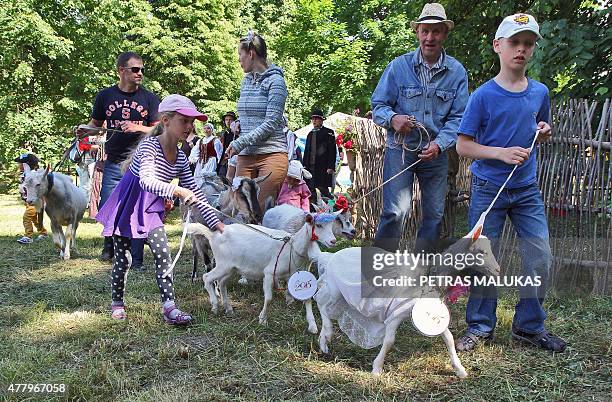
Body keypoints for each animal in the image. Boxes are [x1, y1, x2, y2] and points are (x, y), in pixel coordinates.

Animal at [186, 212, 340, 326]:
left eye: (331, 225)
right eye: (318, 225)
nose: (333, 241)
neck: (292, 247)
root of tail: (213, 235)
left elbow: (305, 297)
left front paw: (312, 325)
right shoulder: (269, 273)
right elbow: (269, 298)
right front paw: (262, 319)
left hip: (231, 267)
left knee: (222, 283)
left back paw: (228, 308)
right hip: (223, 264)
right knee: (207, 278)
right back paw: (215, 305)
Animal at [314, 236, 500, 376]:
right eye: (481, 252)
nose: (498, 270)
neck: (429, 276)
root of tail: (330, 256)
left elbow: (449, 338)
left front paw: (460, 370)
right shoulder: (395, 315)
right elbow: (389, 341)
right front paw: (377, 369)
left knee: (325, 304)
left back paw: (323, 340)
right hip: (336, 289)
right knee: (321, 303)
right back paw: (327, 333)